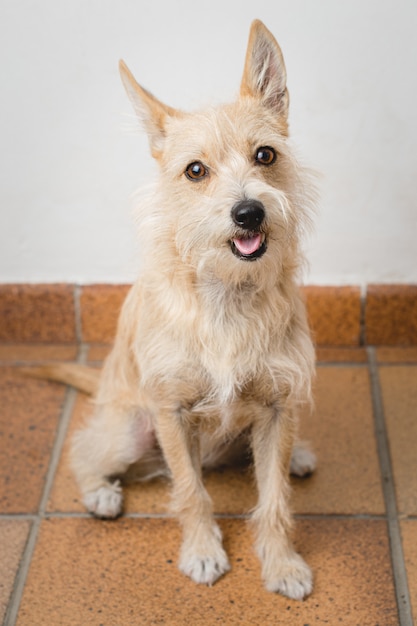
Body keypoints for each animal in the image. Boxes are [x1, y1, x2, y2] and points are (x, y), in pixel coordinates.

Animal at [30, 19, 316, 596]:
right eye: (195, 170)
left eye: (265, 155)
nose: (249, 213)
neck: (228, 293)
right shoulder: (172, 412)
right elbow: (191, 490)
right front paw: (203, 551)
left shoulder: (277, 408)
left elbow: (274, 499)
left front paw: (282, 564)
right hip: (127, 432)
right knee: (85, 450)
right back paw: (99, 491)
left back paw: (298, 456)